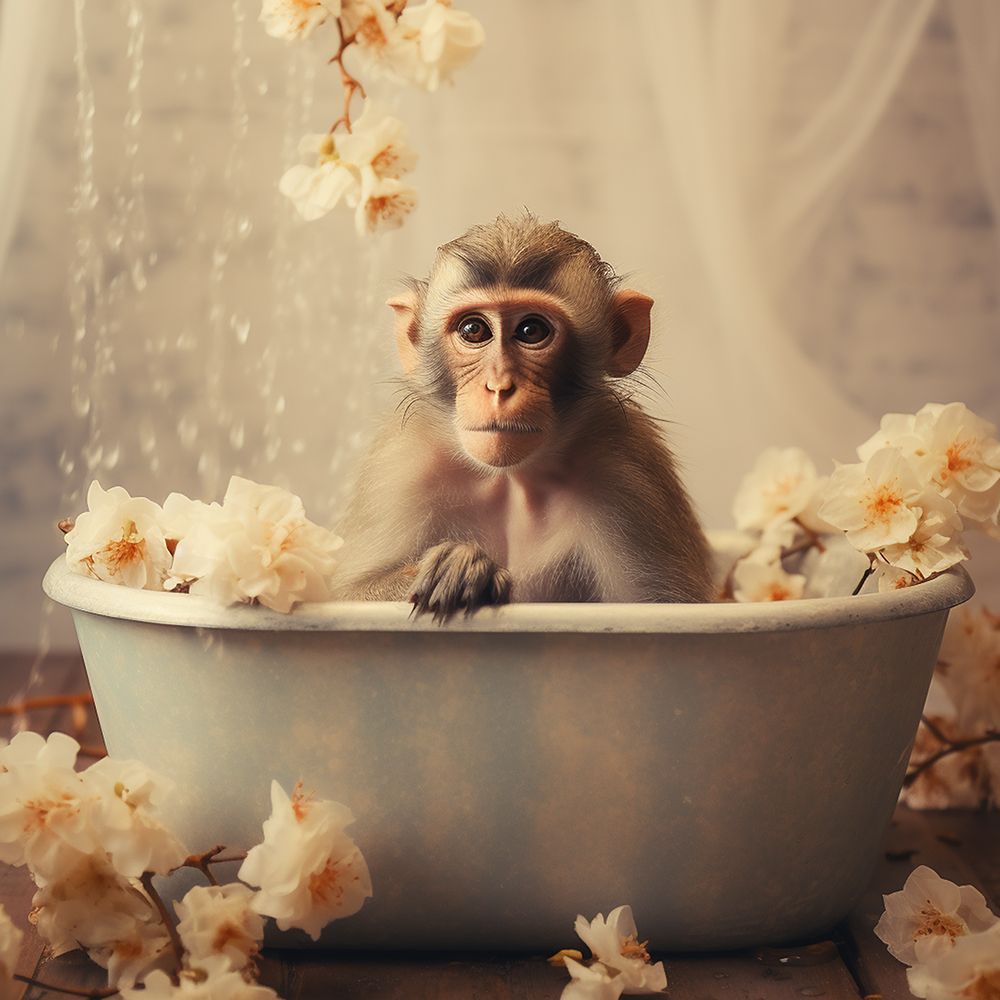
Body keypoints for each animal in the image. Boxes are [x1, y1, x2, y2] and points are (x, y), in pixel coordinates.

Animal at [332, 214, 714, 618]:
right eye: (474, 329)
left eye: (531, 330)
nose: (499, 386)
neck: (511, 477)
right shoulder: (399, 467)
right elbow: (345, 591)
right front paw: (462, 567)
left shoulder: (630, 474)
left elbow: (664, 605)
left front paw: (464, 569)